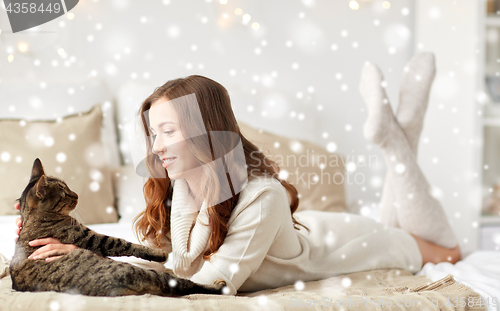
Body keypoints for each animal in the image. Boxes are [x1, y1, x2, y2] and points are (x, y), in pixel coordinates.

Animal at [9, 160, 227, 298]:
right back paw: (217, 285)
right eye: (64, 193)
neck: (33, 218)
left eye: (68, 186)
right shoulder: (87, 236)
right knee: (186, 285)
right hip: (148, 274)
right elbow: (124, 244)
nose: (77, 194)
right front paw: (159, 254)